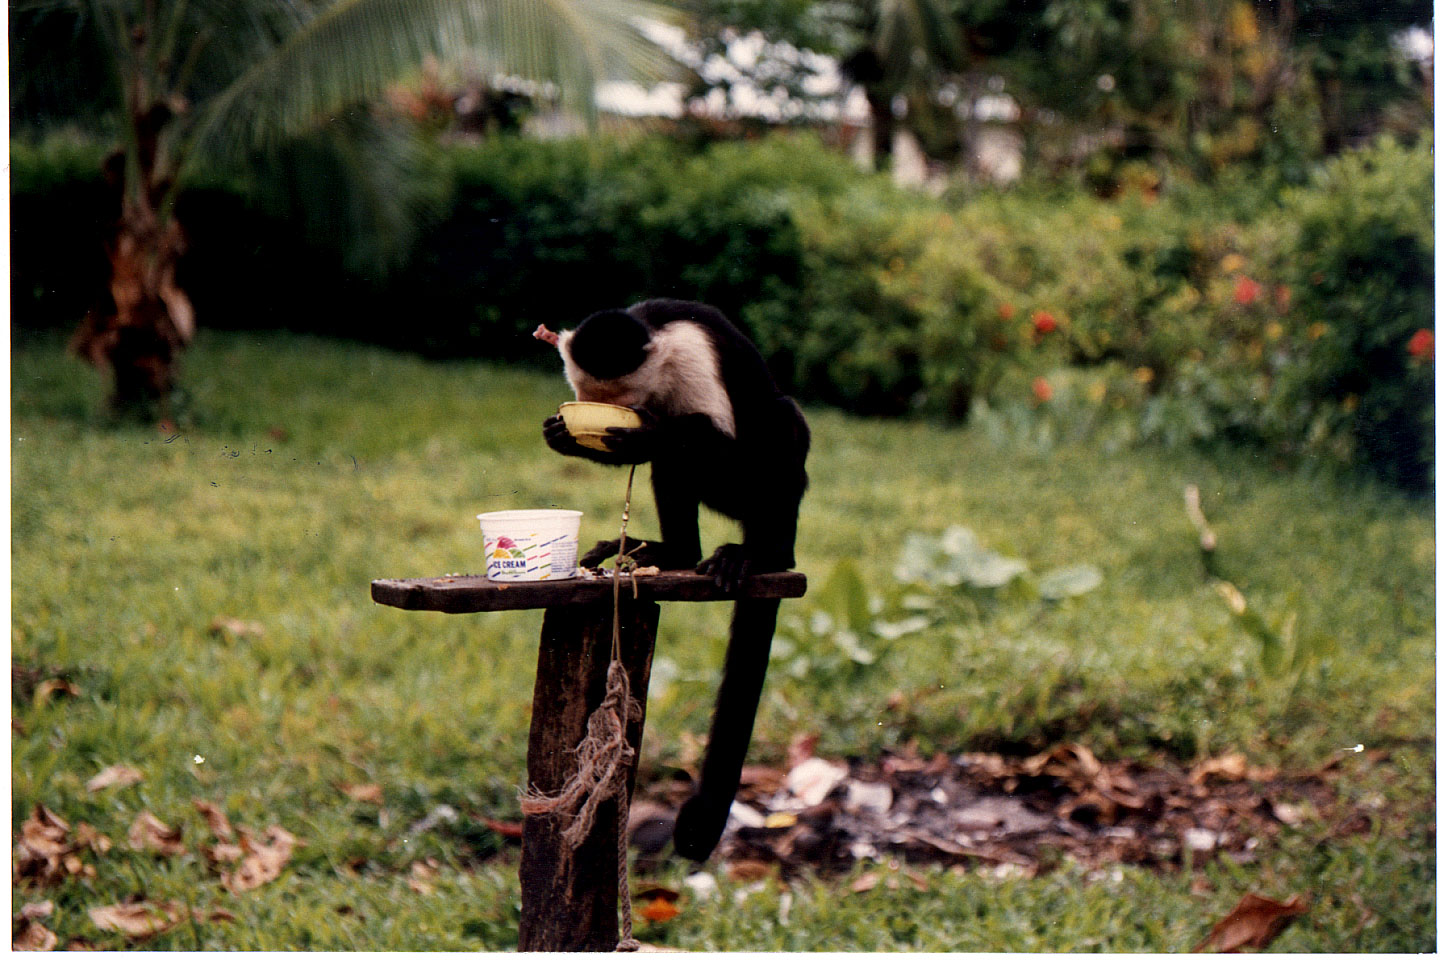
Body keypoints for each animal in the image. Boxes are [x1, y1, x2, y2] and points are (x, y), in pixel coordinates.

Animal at [538, 296, 812, 857]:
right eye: (586, 396)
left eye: (623, 397)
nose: (606, 412)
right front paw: (568, 438)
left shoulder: (691, 359)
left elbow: (711, 443)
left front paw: (645, 433)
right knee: (675, 468)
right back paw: (678, 552)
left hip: (770, 495)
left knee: (777, 423)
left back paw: (761, 555)